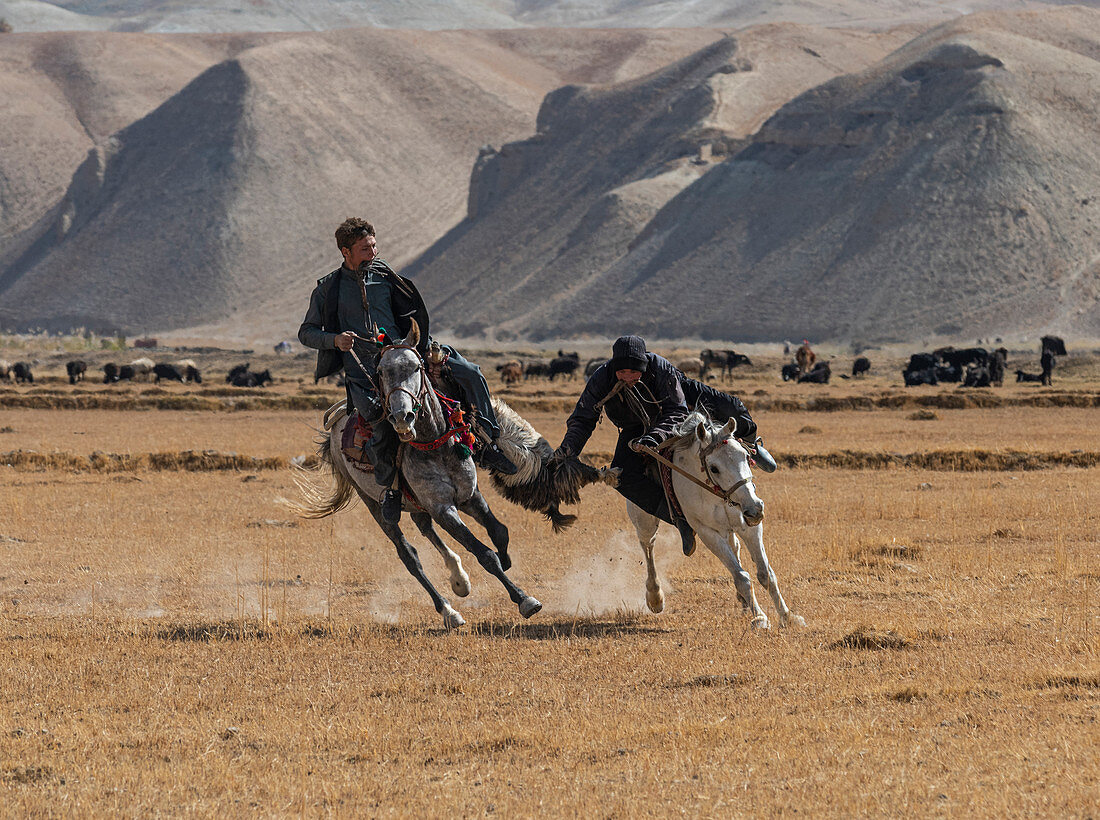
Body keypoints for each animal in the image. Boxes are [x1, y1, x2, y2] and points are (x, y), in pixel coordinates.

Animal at [292, 319, 541, 625]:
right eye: (381, 371)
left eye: (416, 367)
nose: (402, 417)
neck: (434, 444)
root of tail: (336, 425)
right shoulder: (443, 507)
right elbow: (484, 553)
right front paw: (524, 599)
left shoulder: (470, 495)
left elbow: (499, 532)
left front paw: (506, 563)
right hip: (376, 504)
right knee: (409, 556)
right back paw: (448, 610)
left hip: (417, 503)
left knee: (425, 529)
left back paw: (459, 579)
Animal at [629, 411, 809, 629]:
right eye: (714, 468)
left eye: (746, 456)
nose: (756, 509)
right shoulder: (708, 532)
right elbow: (742, 577)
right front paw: (759, 617)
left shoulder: (749, 527)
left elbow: (766, 574)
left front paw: (788, 616)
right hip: (643, 519)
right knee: (648, 546)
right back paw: (655, 597)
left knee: (735, 546)